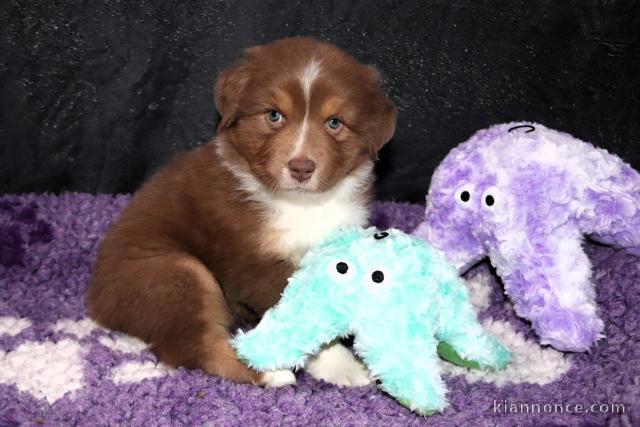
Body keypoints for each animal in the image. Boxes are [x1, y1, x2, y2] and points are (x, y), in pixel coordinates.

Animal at [85, 37, 396, 388]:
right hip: (173, 271)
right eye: (274, 115)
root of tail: (98, 303)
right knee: (195, 347)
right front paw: (342, 366)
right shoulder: (255, 265)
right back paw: (268, 373)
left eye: (334, 123)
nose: (301, 168)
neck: (302, 204)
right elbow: (303, 317)